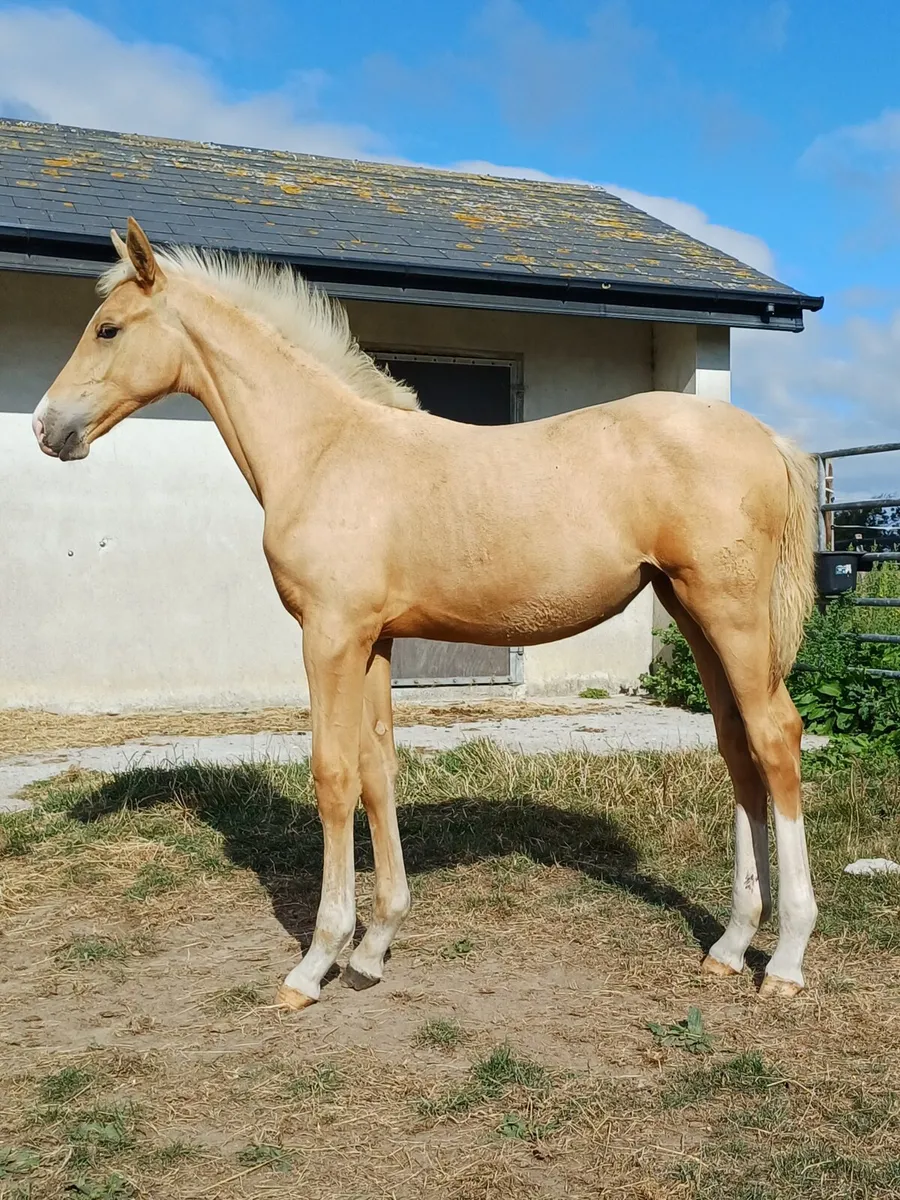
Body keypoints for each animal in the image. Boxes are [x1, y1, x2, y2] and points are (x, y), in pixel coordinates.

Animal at [32, 218, 819, 1010]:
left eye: (107, 328)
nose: (45, 428)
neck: (325, 449)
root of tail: (767, 438)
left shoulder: (330, 637)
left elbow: (333, 777)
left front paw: (315, 962)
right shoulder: (375, 642)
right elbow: (378, 769)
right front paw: (374, 947)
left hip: (730, 616)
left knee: (776, 739)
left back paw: (785, 959)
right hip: (693, 615)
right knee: (737, 749)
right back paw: (728, 947)